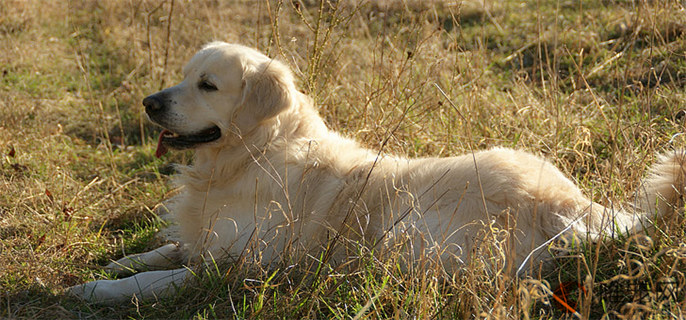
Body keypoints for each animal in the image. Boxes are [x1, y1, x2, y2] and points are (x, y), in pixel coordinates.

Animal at [71, 42, 686, 302]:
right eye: (182, 76)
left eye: (207, 85)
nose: (150, 102)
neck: (254, 152)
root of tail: (565, 200)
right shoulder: (204, 238)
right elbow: (165, 249)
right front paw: (123, 259)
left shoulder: (237, 267)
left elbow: (161, 279)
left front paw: (95, 288)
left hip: (402, 230)